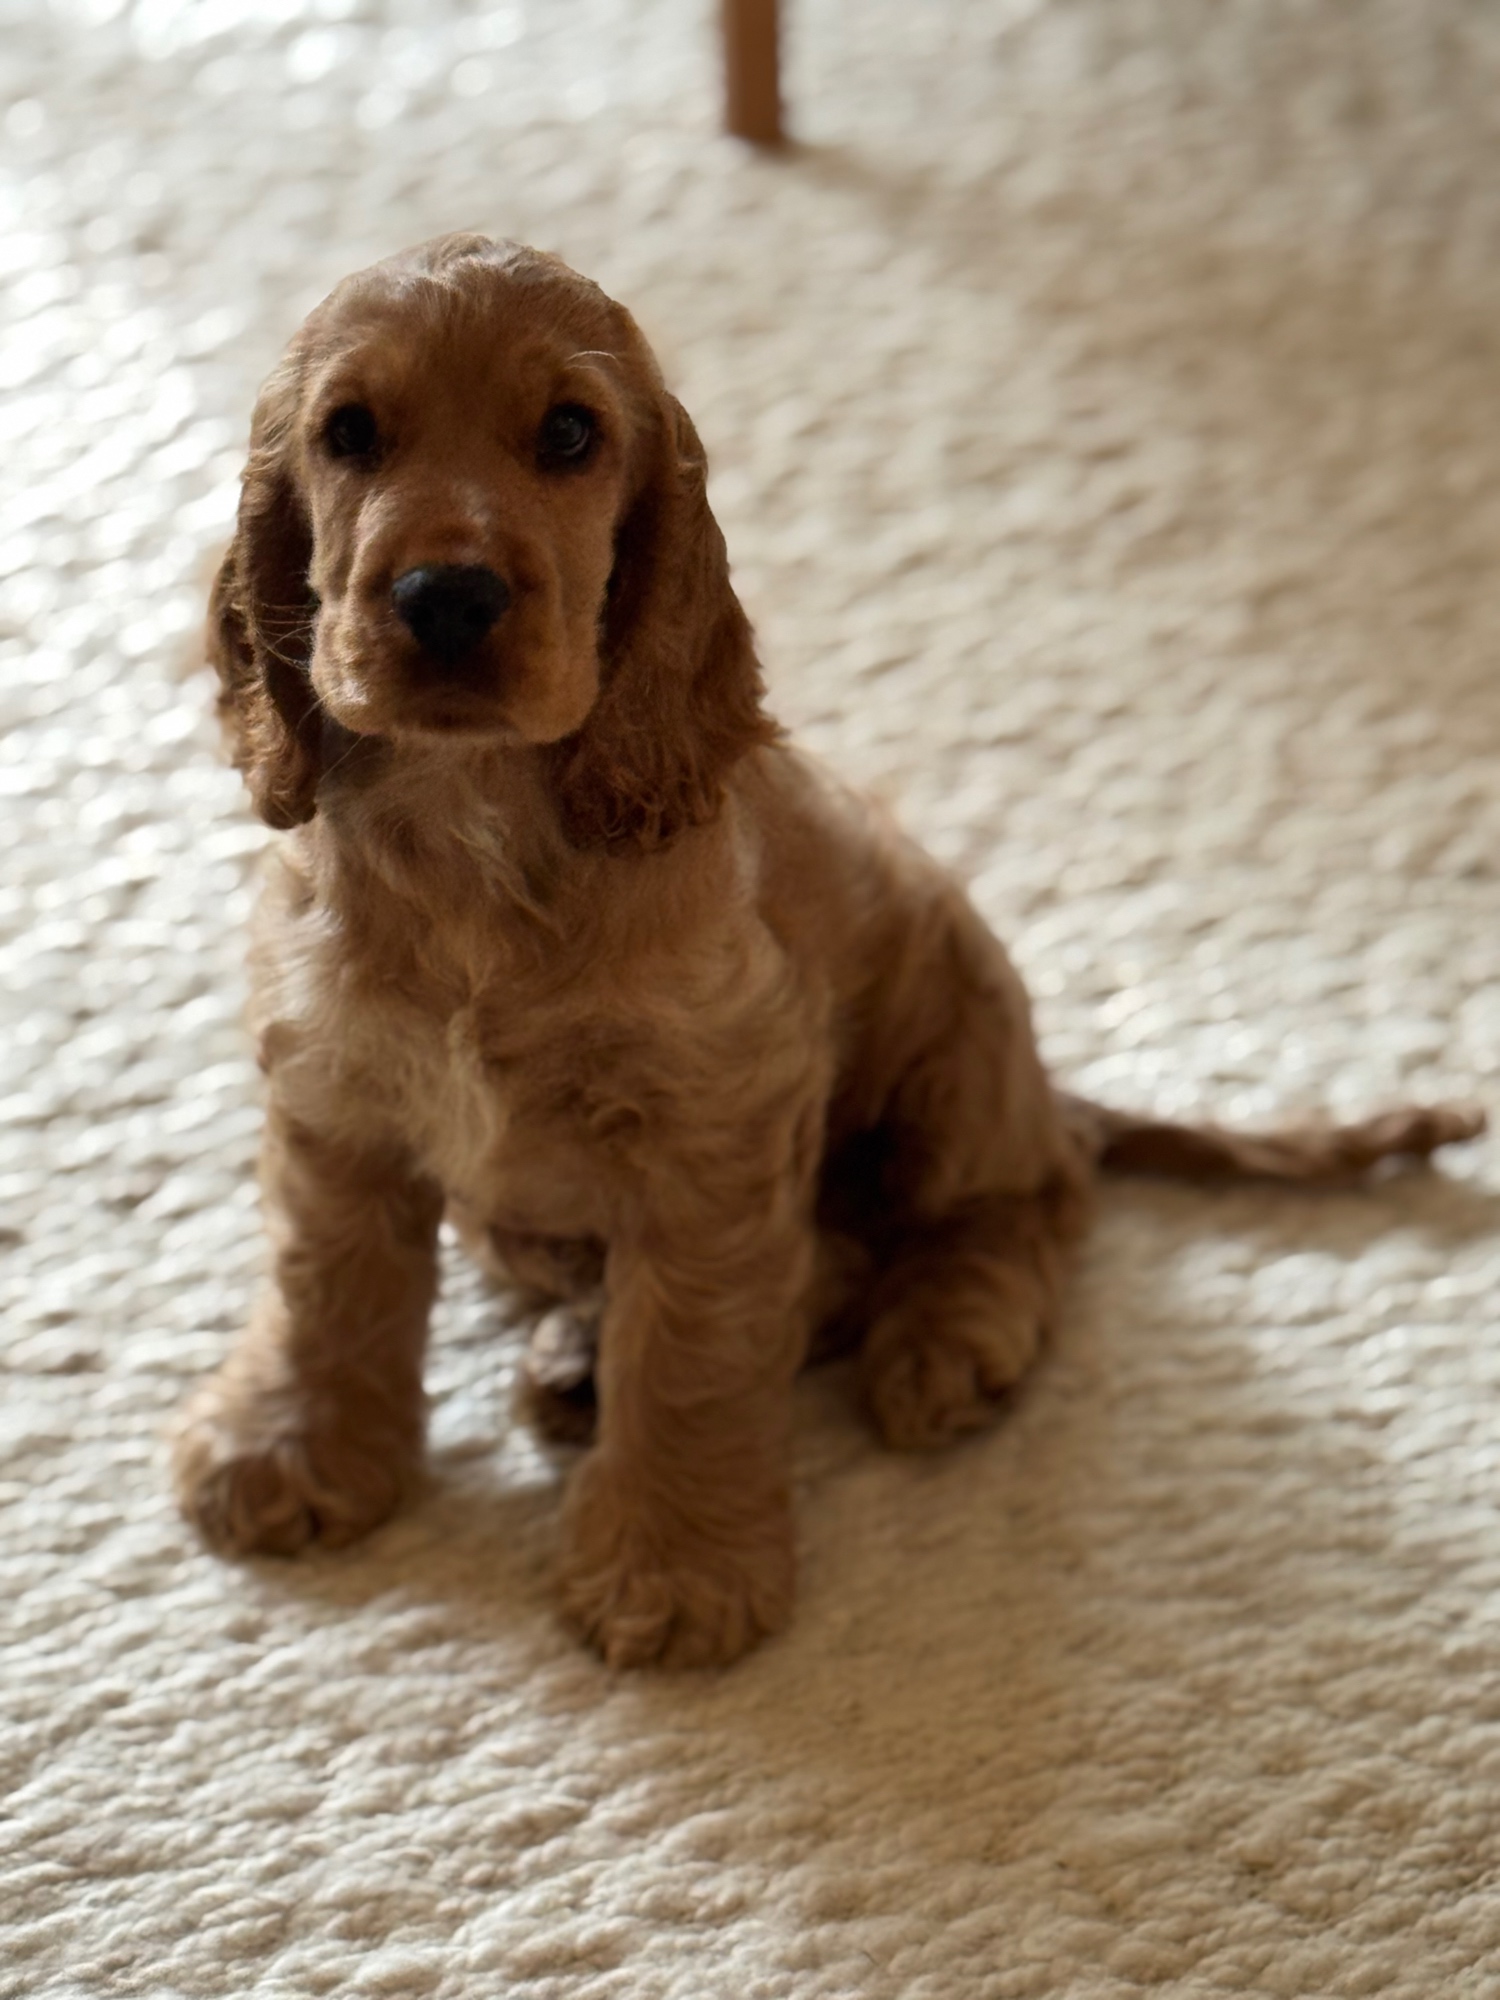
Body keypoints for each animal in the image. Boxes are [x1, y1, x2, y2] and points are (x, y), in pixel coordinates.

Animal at [173, 234, 1482, 1667]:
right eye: (349, 433)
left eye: (569, 434)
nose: (448, 598)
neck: (476, 824)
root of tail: (1053, 1089)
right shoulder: (336, 1089)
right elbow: (327, 1278)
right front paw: (289, 1449)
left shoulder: (720, 1118)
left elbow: (693, 1346)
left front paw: (674, 1566)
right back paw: (575, 1355)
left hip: (955, 1046)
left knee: (1015, 1203)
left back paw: (944, 1344)